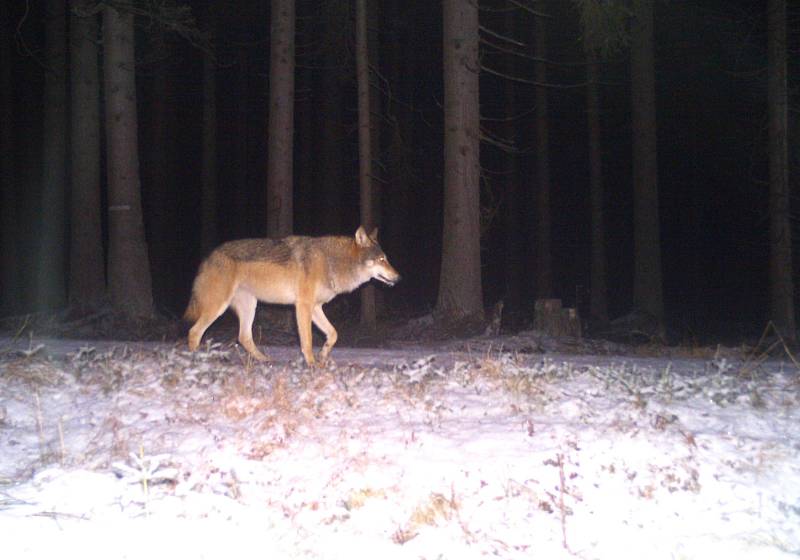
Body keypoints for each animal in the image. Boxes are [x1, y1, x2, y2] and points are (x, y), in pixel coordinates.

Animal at [186, 225, 400, 366]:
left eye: (387, 259)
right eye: (381, 259)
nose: (399, 278)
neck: (331, 262)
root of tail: (208, 258)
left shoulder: (316, 307)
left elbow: (333, 334)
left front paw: (323, 356)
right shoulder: (303, 306)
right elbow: (307, 340)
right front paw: (312, 363)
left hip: (250, 306)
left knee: (244, 336)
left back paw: (265, 360)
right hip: (218, 307)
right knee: (194, 332)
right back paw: (198, 362)